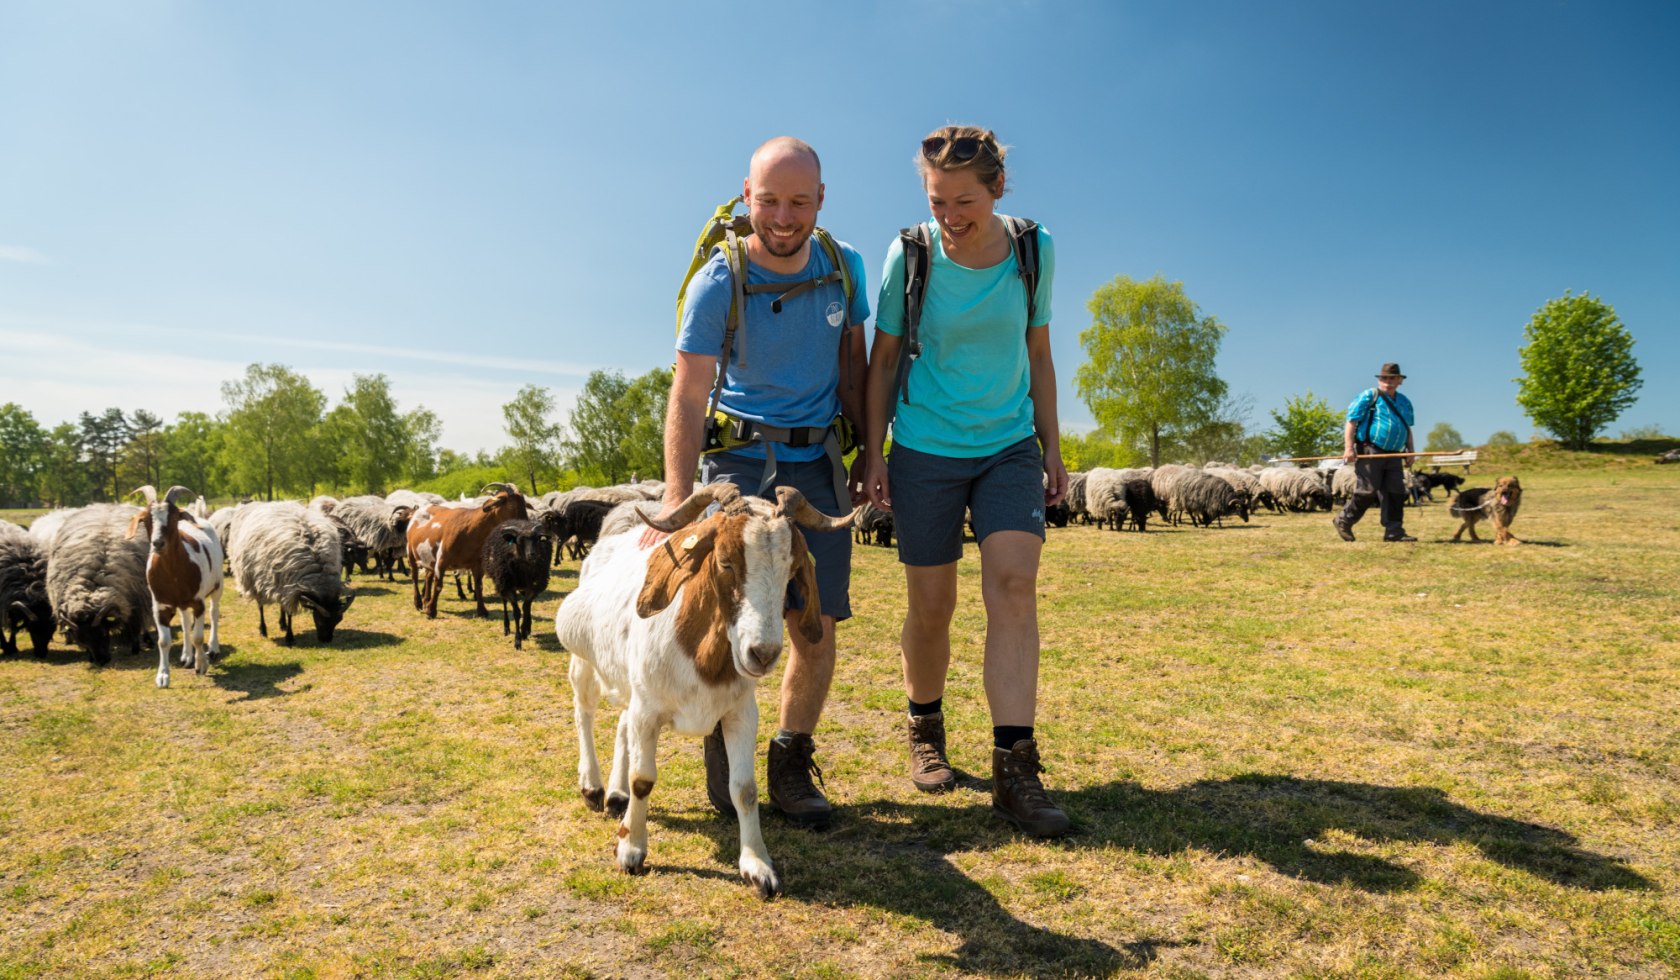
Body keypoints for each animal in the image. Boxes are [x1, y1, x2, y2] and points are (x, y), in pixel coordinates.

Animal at [45, 507, 151, 665]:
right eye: (81, 639)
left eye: (103, 633)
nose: (101, 660)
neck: (94, 583)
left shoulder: (136, 603)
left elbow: (134, 628)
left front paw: (135, 649)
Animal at [124, 484, 223, 689]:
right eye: (146, 518)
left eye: (175, 516)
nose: (158, 543)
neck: (174, 576)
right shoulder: (159, 606)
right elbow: (163, 641)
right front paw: (162, 676)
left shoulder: (198, 603)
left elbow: (198, 636)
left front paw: (202, 665)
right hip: (182, 603)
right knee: (185, 621)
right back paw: (186, 656)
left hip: (218, 586)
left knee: (214, 613)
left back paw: (213, 648)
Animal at [226, 507, 354, 645]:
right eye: (319, 620)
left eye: (339, 620)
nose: (326, 640)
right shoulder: (291, 588)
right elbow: (290, 612)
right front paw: (289, 637)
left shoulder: (288, 586)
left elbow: (287, 609)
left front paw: (286, 628)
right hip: (255, 581)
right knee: (260, 606)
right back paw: (263, 630)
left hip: (277, 582)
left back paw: (283, 624)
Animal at [483, 517, 554, 648]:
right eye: (520, 541)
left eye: (537, 540)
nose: (532, 554)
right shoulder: (507, 586)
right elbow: (516, 612)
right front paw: (517, 641)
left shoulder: (533, 586)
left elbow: (526, 607)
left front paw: (524, 630)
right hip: (501, 583)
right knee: (504, 602)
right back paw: (506, 628)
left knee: (528, 605)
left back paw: (527, 627)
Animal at [557, 484, 853, 894]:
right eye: (725, 561)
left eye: (792, 569)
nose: (762, 654)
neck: (697, 653)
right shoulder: (648, 711)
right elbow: (643, 779)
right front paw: (631, 850)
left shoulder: (739, 713)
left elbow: (744, 788)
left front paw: (757, 866)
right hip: (584, 661)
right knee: (583, 711)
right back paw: (593, 786)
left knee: (620, 723)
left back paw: (616, 796)